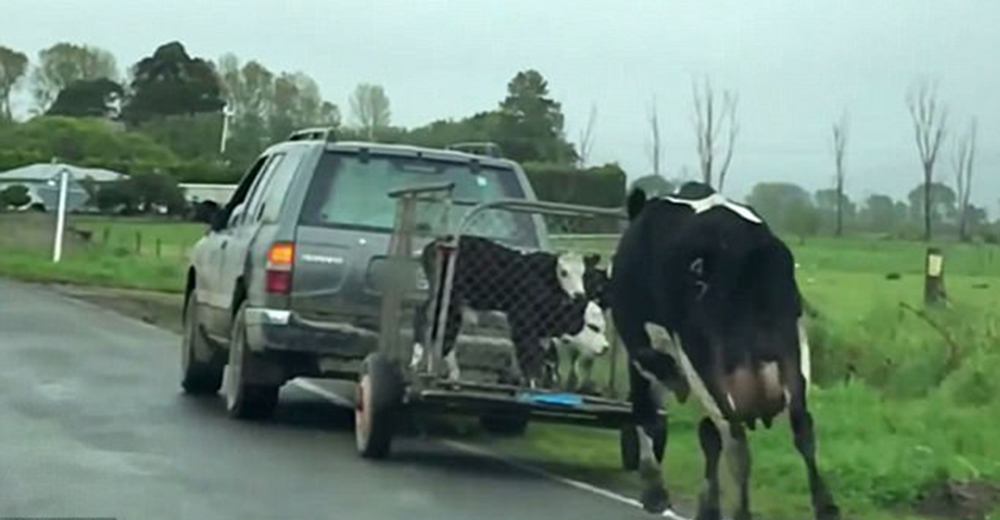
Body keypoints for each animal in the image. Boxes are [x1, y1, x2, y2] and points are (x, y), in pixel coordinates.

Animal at [608, 183, 836, 520]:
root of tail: (748, 244)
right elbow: (706, 435)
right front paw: (707, 505)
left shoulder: (642, 351)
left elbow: (648, 415)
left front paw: (655, 491)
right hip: (792, 348)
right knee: (801, 425)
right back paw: (826, 507)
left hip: (704, 359)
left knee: (736, 439)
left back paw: (741, 511)